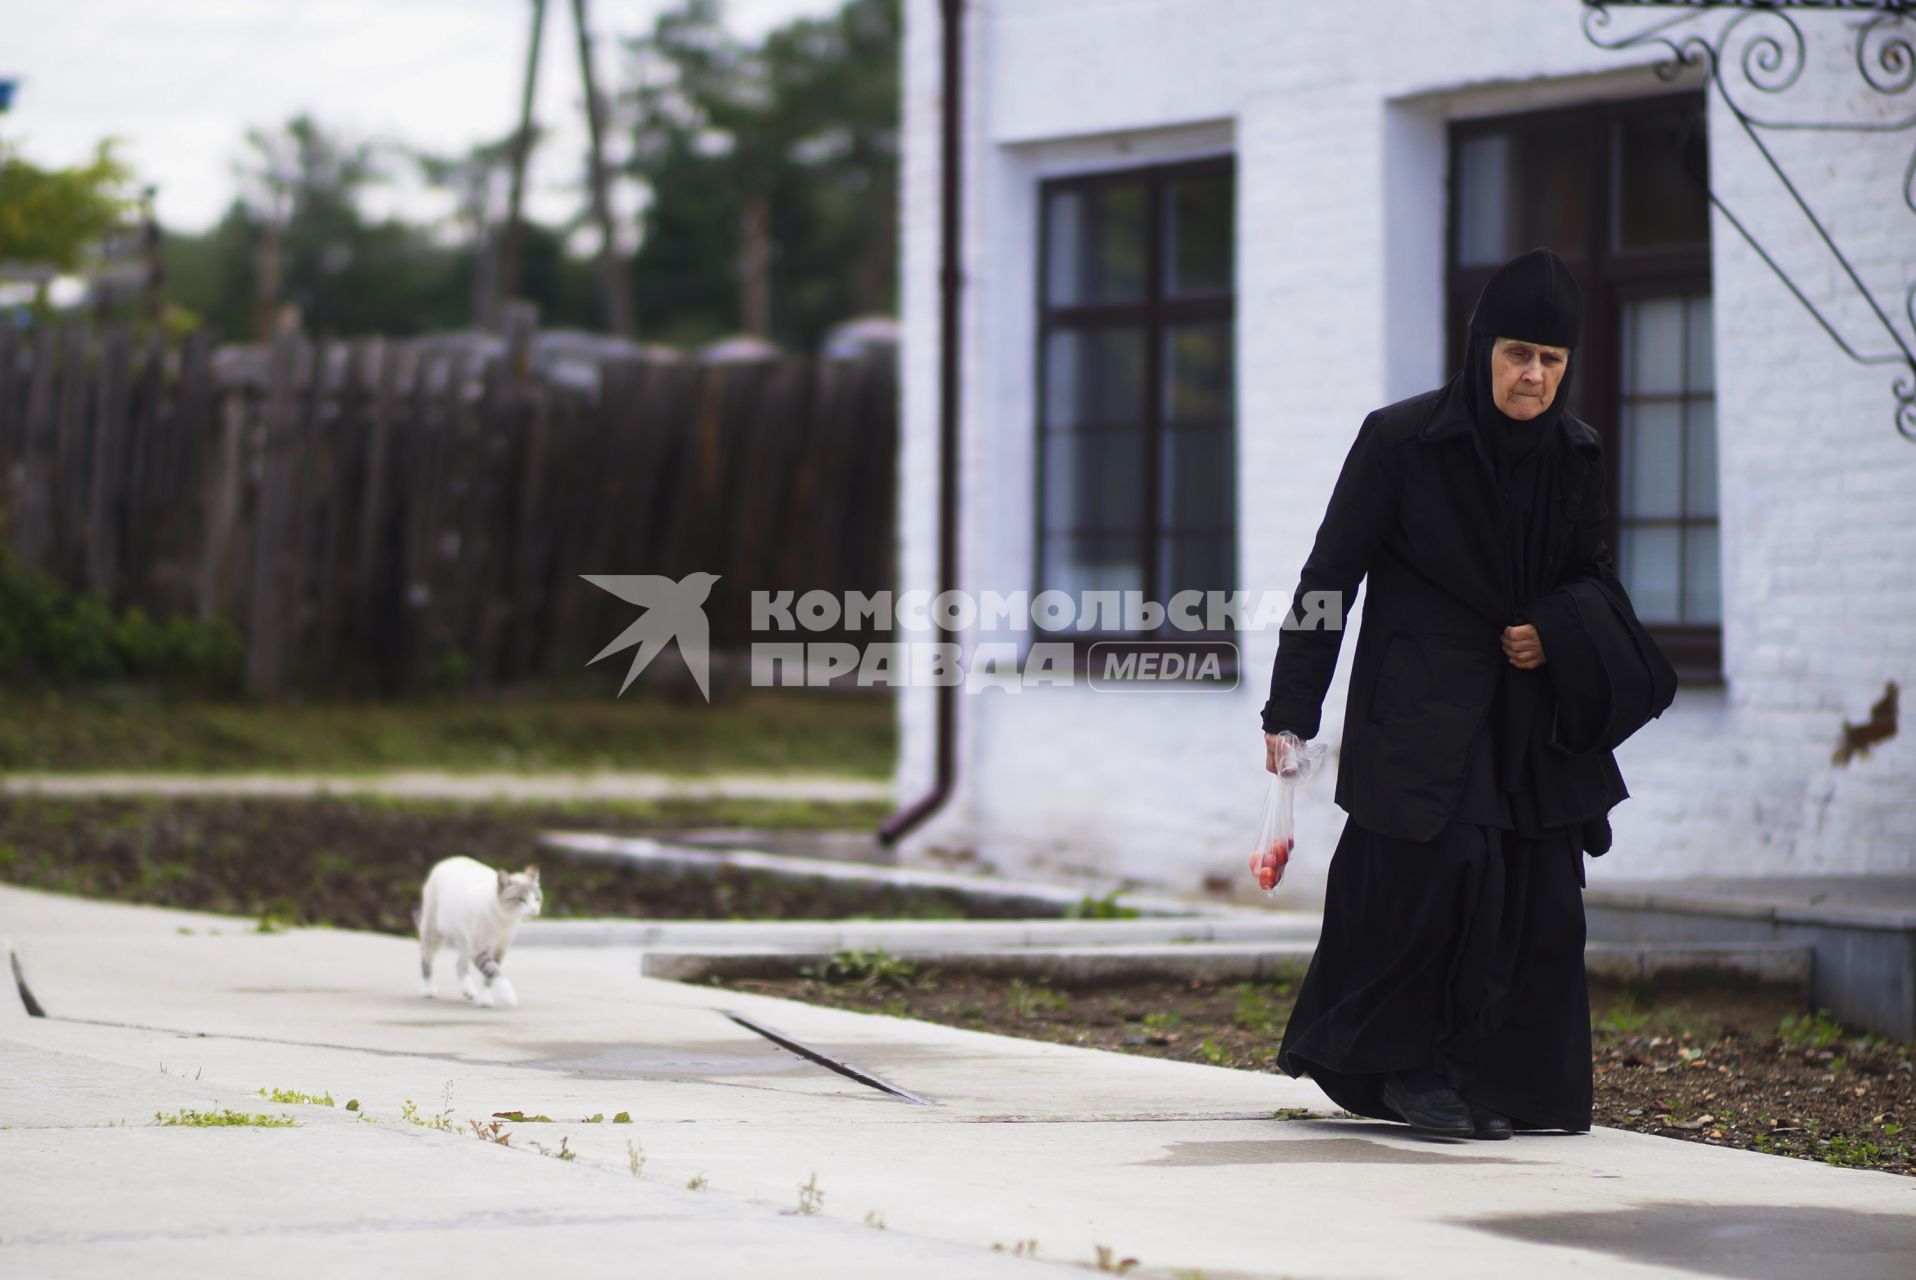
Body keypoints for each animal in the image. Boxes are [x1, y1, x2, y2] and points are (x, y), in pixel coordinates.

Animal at [415, 858, 540, 1011]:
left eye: (537, 899)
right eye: (521, 900)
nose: (534, 910)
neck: (504, 919)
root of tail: (449, 860)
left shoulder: (499, 949)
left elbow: (489, 978)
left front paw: (485, 999)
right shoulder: (480, 949)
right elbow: (493, 971)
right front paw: (508, 996)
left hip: (465, 940)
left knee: (460, 964)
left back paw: (468, 991)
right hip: (433, 932)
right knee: (426, 960)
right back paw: (427, 990)